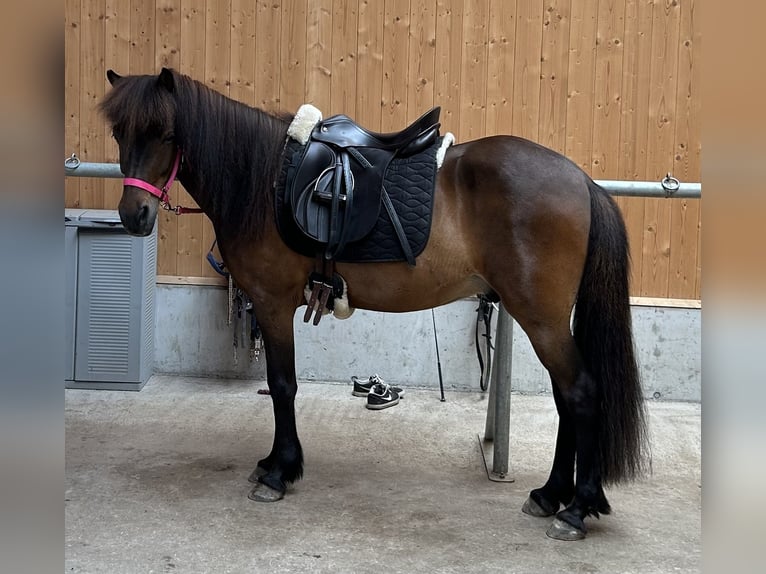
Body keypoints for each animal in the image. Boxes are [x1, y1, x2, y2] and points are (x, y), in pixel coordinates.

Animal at [99, 67, 649, 541]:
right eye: (119, 133)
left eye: (164, 132)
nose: (133, 215)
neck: (264, 180)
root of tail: (580, 179)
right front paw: (276, 464)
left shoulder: (272, 303)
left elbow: (282, 385)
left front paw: (279, 472)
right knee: (564, 397)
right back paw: (551, 494)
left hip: (542, 317)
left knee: (579, 393)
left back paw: (576, 508)